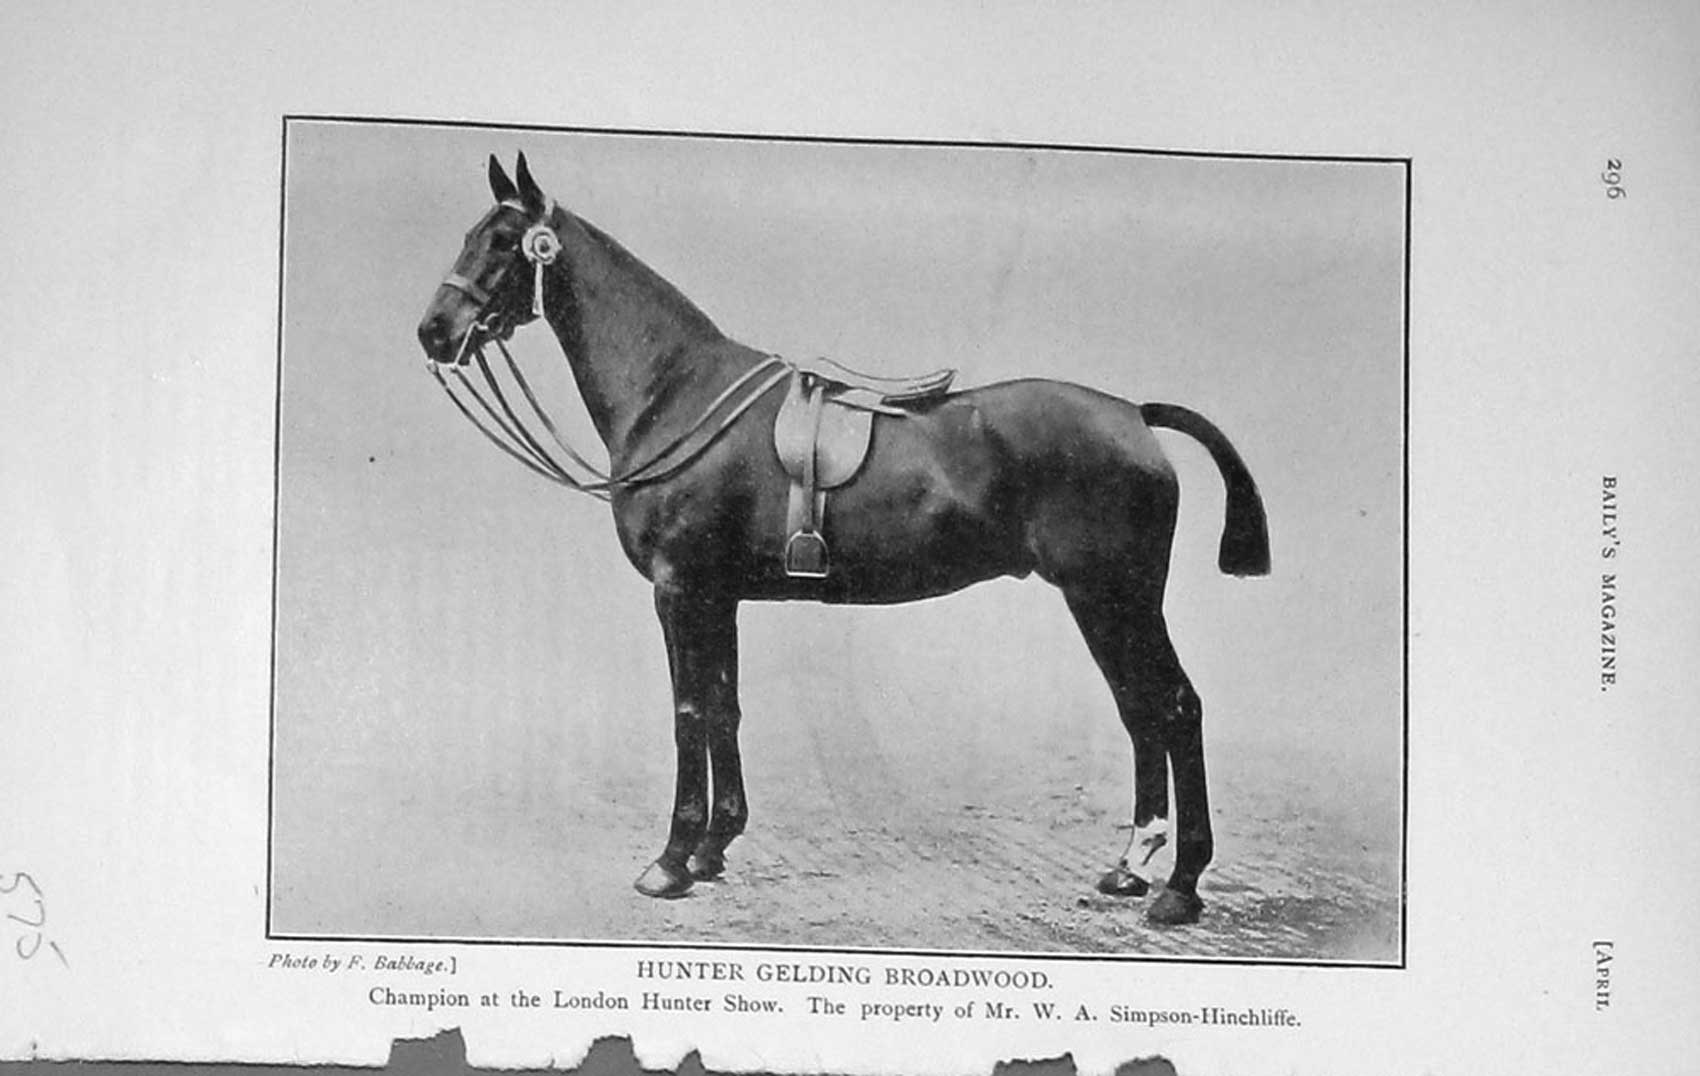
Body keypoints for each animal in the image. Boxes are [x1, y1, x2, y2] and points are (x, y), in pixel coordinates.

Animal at [414, 153, 1270, 925]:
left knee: (1175, 708)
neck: (673, 391)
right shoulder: (719, 597)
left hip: (1112, 597)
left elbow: (688, 712)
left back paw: (1179, 887)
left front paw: (671, 861)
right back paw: (1131, 866)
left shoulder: (679, 590)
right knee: (1140, 711)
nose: (433, 331)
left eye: (503, 241)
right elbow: (723, 707)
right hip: (1108, 604)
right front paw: (714, 847)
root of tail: (1134, 414)